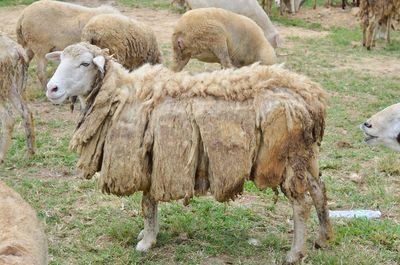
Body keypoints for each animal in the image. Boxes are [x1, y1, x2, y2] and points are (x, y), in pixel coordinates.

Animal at [0, 33, 35, 163]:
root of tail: (16, 49)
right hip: (13, 86)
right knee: (26, 112)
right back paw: (30, 153)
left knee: (8, 120)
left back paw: (1, 157)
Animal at [43, 42, 332, 262]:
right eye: (61, 60)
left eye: (85, 64)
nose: (51, 88)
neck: (120, 94)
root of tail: (311, 95)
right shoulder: (155, 159)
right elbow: (150, 203)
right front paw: (148, 234)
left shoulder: (149, 158)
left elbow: (147, 204)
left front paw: (146, 242)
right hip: (306, 154)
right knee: (319, 191)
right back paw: (323, 238)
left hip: (286, 157)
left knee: (301, 204)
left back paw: (295, 253)